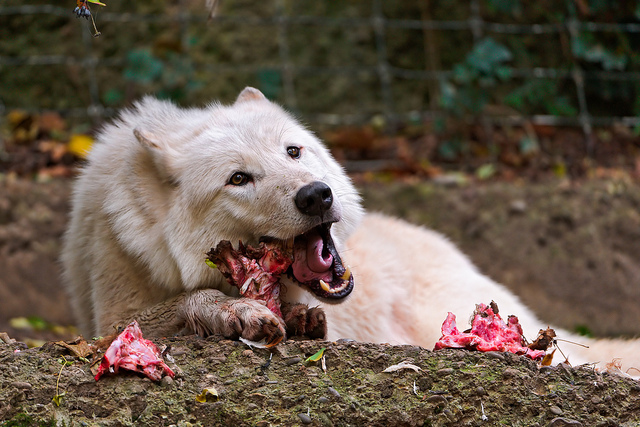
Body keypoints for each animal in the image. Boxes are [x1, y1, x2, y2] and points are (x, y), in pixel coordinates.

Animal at [62, 87, 640, 371]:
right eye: (239, 178)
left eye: (293, 151)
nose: (316, 194)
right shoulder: (104, 319)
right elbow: (173, 308)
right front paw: (238, 313)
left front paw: (291, 317)